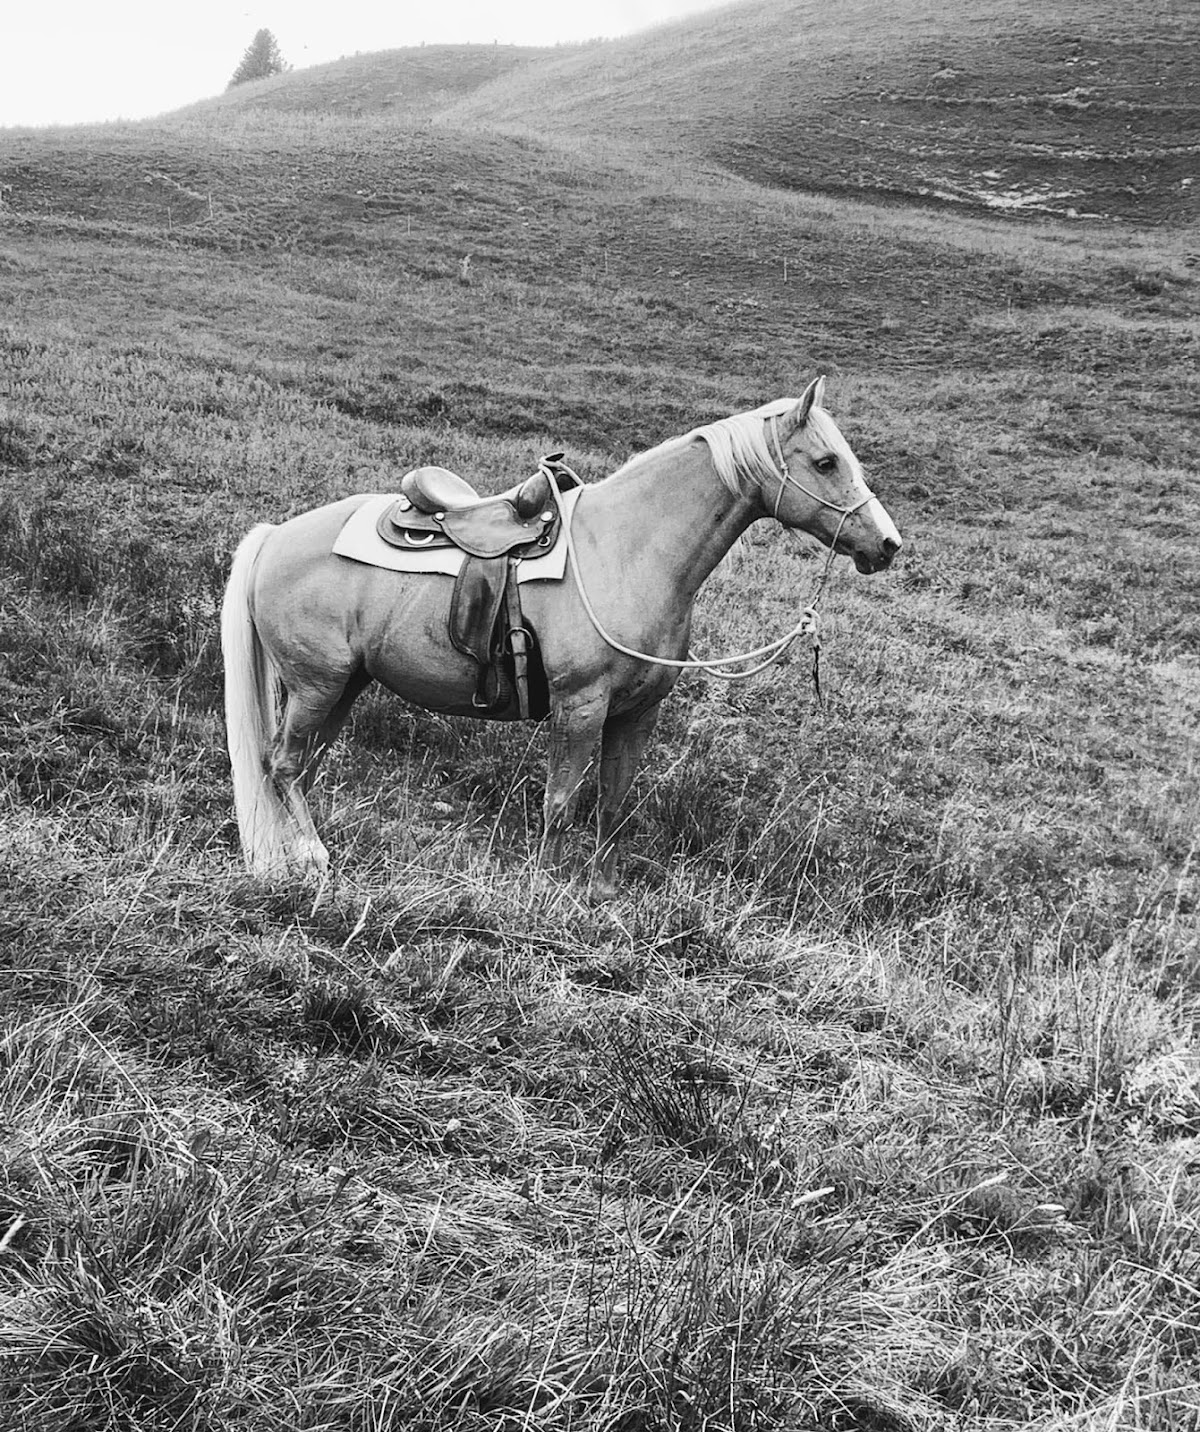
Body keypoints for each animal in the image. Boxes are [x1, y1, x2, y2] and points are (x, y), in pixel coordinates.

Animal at [221, 377, 901, 899]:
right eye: (825, 462)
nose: (887, 545)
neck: (626, 550)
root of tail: (275, 536)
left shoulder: (636, 713)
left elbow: (612, 803)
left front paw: (601, 891)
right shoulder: (581, 705)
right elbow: (560, 801)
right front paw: (546, 888)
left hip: (344, 687)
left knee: (296, 768)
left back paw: (289, 853)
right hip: (318, 684)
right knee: (283, 764)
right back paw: (312, 856)